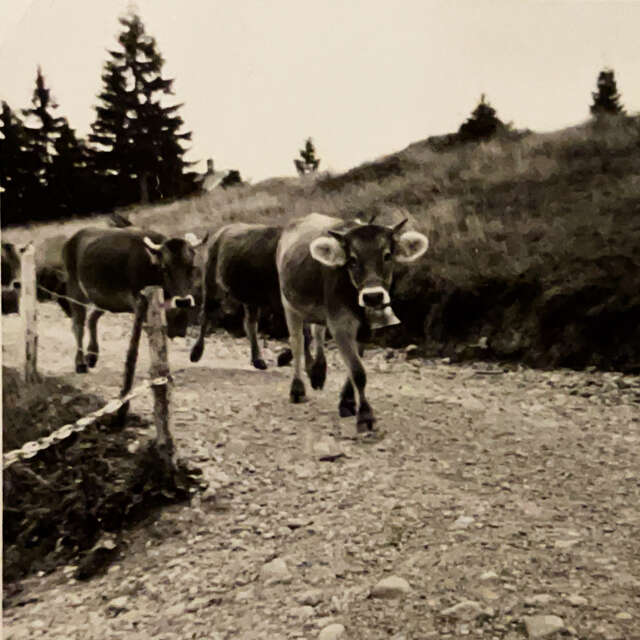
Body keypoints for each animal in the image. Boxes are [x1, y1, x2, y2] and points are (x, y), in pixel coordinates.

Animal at [63, 228, 206, 372]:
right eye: (164, 268)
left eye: (190, 267)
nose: (183, 301)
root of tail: (76, 236)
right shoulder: (136, 300)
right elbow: (146, 329)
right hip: (75, 288)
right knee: (78, 325)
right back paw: (80, 363)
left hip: (105, 300)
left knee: (92, 318)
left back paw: (92, 355)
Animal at [190, 222, 302, 368]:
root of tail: (220, 232)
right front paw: (283, 358)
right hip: (211, 285)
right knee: (205, 315)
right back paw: (196, 353)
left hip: (251, 299)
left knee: (250, 324)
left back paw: (258, 359)